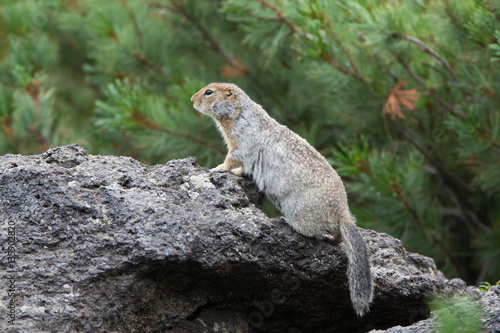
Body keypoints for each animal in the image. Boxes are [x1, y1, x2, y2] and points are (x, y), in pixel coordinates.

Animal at [189, 81, 374, 316]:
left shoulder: (241, 141)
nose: (191, 100)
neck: (238, 114)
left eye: (208, 92)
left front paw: (217, 168)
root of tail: (343, 213)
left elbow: (232, 158)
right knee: (337, 237)